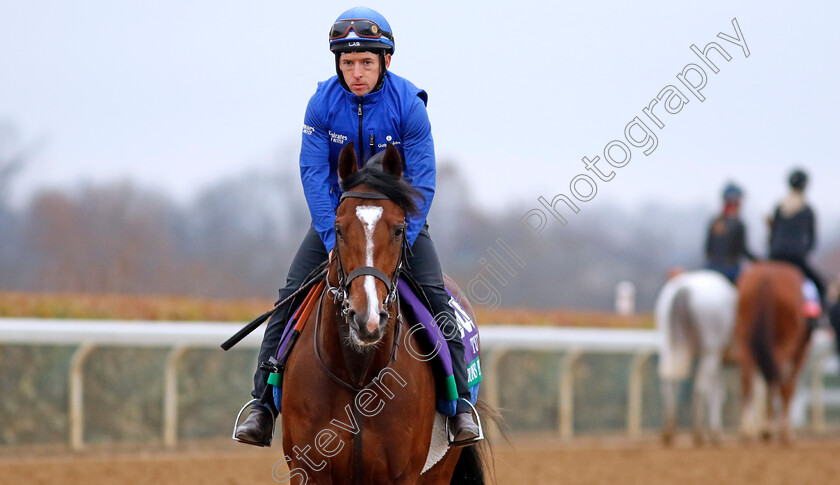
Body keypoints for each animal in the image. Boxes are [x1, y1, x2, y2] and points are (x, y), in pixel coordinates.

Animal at [656, 270, 736, 444]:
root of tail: (684, 289)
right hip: (711, 352)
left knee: (669, 384)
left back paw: (669, 431)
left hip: (669, 345)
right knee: (700, 388)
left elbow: (718, 392)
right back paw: (698, 433)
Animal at [736, 260, 812, 442]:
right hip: (784, 344)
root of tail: (766, 278)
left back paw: (748, 431)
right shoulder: (801, 352)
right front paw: (786, 432)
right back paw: (769, 429)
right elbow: (788, 387)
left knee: (748, 379)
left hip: (744, 343)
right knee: (774, 376)